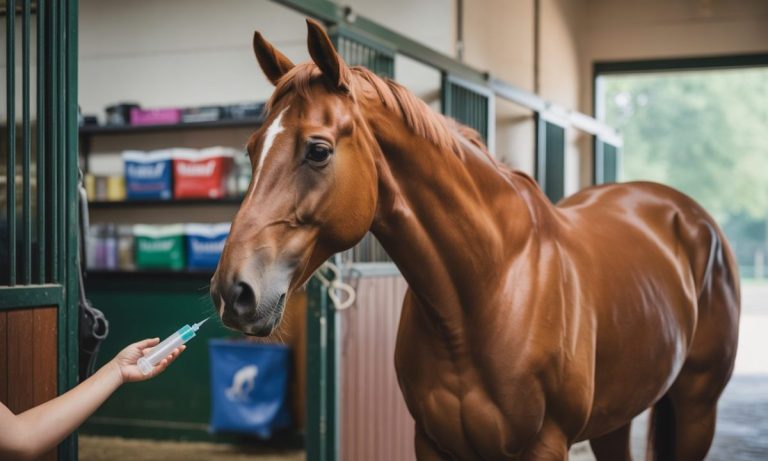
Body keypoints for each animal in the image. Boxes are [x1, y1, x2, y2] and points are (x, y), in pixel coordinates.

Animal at [210, 19, 740, 460]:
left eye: (318, 151)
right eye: (252, 150)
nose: (232, 291)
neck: (486, 291)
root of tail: (685, 214)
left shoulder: (545, 446)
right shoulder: (432, 442)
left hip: (698, 409)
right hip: (617, 417)